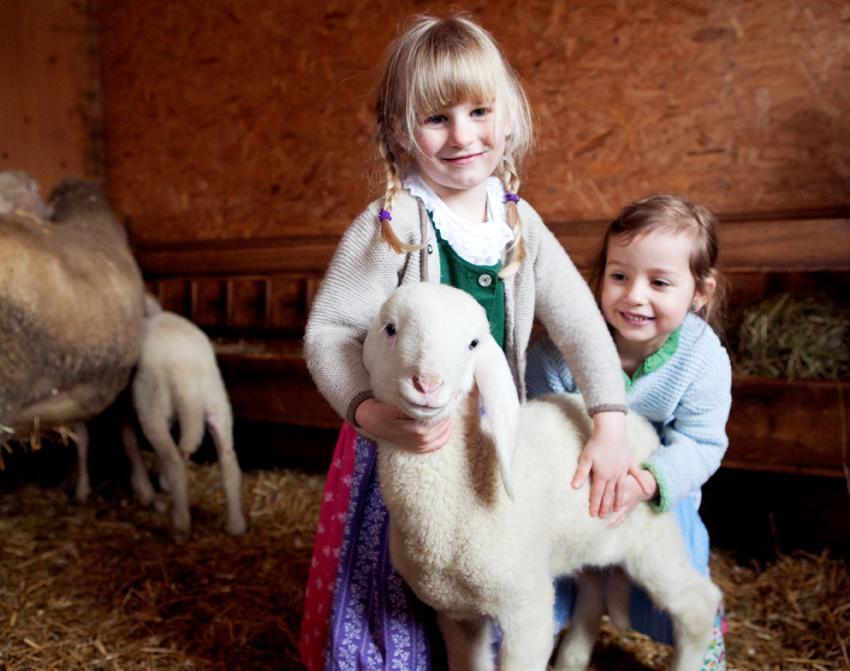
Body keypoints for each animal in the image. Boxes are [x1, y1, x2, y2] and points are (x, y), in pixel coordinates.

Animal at [124, 294, 247, 540]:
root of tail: (187, 373)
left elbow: (129, 440)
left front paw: (143, 490)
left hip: (151, 407)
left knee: (174, 461)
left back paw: (180, 527)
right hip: (217, 405)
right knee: (228, 460)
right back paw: (236, 525)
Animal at [362, 282, 720, 671]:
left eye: (473, 343)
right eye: (390, 329)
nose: (427, 384)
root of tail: (637, 422)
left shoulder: (527, 607)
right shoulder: (457, 613)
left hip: (651, 535)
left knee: (699, 604)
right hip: (585, 541)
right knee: (593, 591)